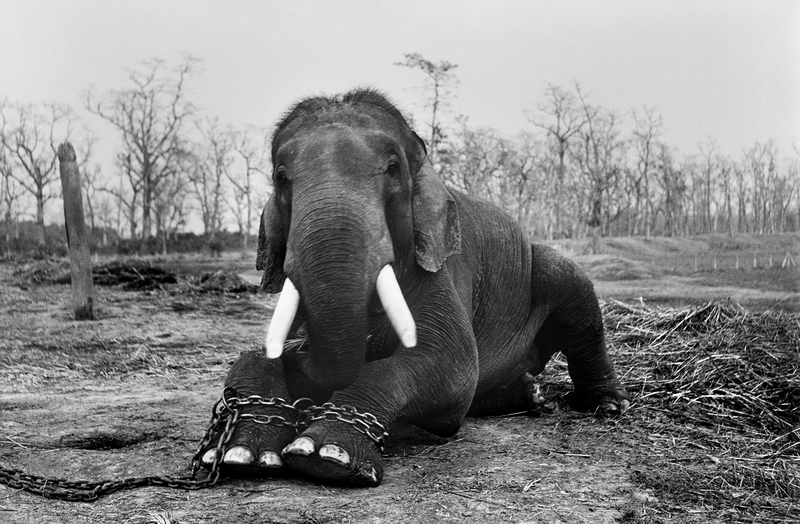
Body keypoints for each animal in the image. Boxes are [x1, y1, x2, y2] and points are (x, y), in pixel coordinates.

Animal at [200, 89, 624, 488]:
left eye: (393, 168)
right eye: (281, 177)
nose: (301, 352)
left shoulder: (440, 270)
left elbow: (452, 363)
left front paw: (326, 455)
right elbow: (256, 356)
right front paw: (241, 453)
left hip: (549, 272)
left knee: (571, 292)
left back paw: (606, 405)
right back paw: (532, 394)